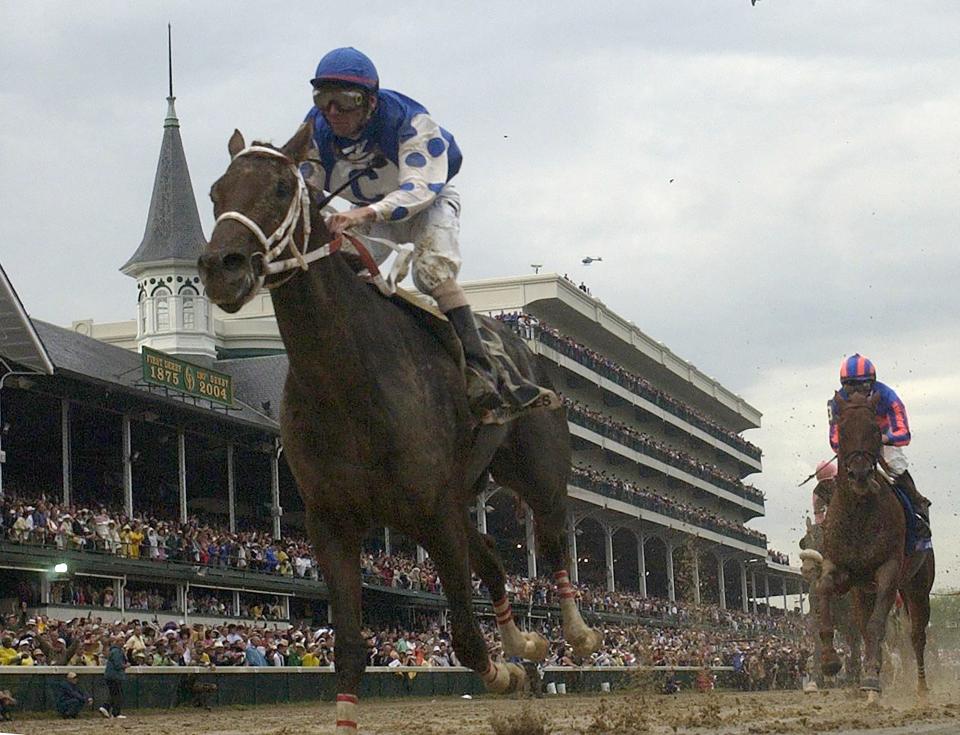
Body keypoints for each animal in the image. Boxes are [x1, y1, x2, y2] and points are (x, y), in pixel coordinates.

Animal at [196, 123, 600, 732]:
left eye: (279, 189)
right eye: (216, 192)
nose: (222, 265)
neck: (348, 382)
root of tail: (528, 355)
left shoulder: (432, 516)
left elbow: (465, 638)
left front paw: (505, 671)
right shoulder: (333, 523)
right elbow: (349, 650)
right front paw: (515, 661)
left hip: (537, 474)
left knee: (553, 540)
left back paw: (574, 631)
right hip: (462, 494)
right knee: (493, 555)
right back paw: (525, 642)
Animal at [812, 392, 932, 700]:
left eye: (877, 430)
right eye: (842, 430)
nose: (860, 475)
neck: (859, 514)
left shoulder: (889, 571)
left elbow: (878, 626)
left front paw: (871, 679)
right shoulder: (841, 569)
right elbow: (824, 589)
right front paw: (830, 660)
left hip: (917, 586)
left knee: (917, 635)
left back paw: (920, 687)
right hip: (863, 592)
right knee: (864, 627)